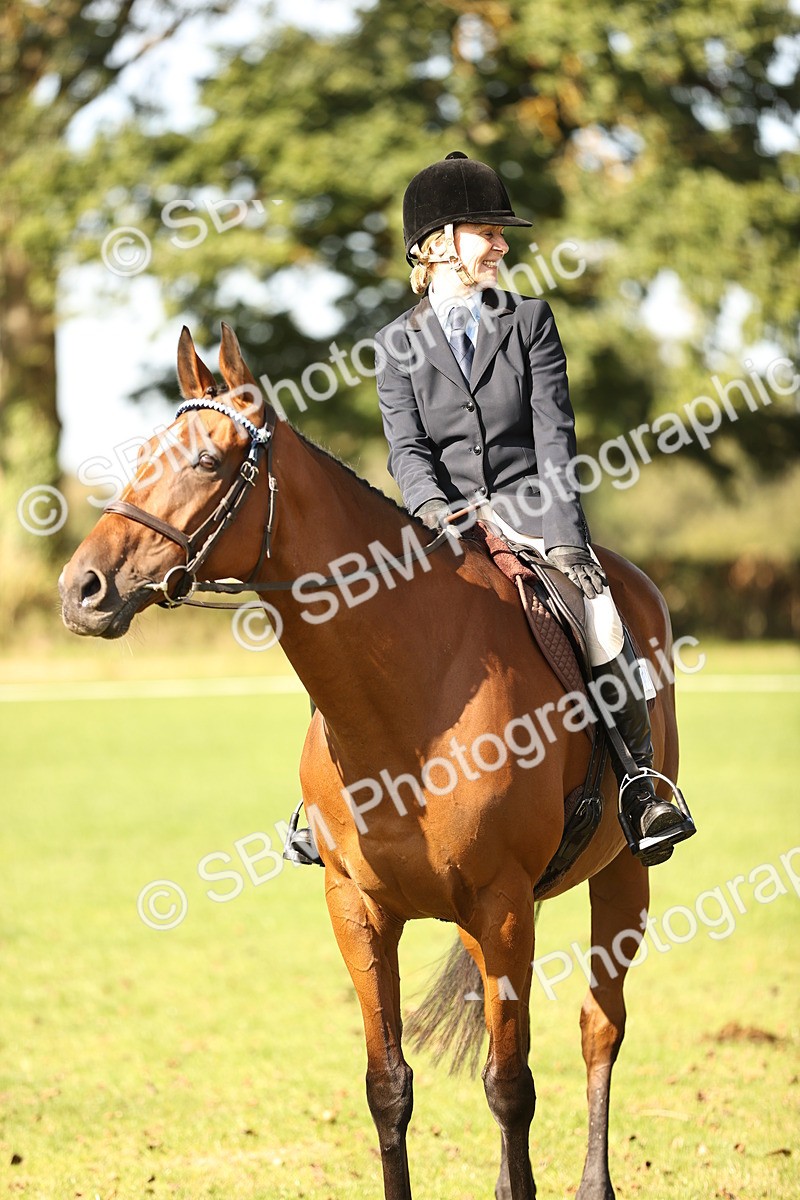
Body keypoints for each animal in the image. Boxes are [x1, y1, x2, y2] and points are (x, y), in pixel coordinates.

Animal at [60, 324, 681, 1200]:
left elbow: (510, 1085)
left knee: (600, 1027)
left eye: (209, 462)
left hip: (621, 872)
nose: (81, 589)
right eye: (145, 452)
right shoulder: (358, 908)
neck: (406, 699)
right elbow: (388, 1086)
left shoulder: (503, 907)